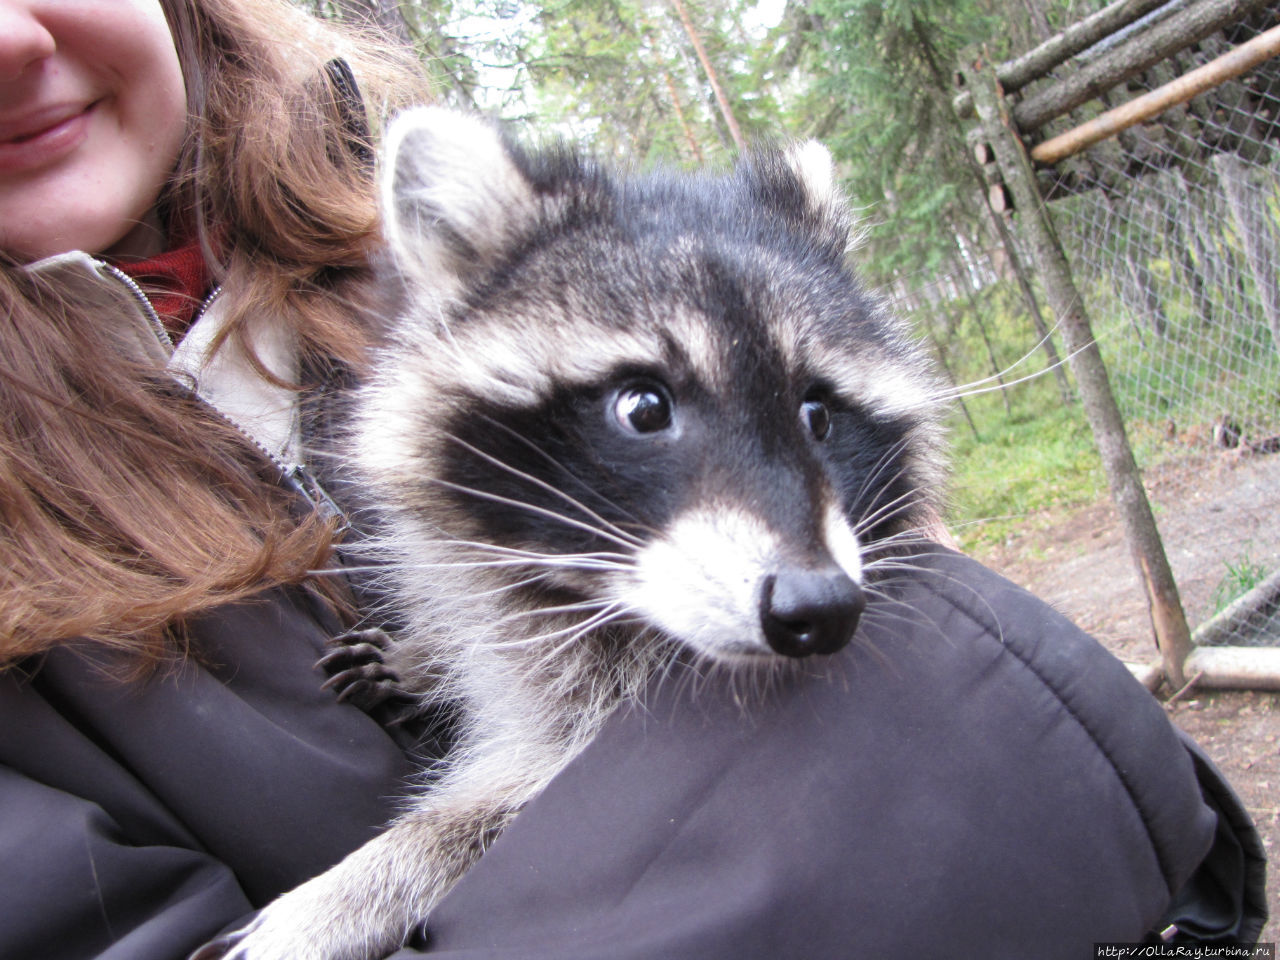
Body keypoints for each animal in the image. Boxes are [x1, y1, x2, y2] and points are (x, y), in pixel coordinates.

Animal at [197, 108, 942, 960]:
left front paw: (369, 876)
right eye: (643, 408)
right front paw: (431, 656)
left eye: (817, 414)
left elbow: (511, 808)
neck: (582, 591)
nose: (821, 607)